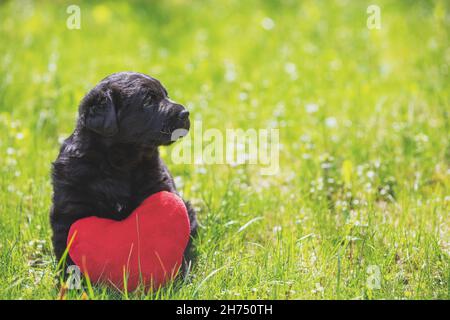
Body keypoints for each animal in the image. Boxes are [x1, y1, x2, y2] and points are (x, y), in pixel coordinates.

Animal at [49, 72, 197, 276]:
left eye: (166, 95)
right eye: (148, 101)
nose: (185, 113)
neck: (119, 164)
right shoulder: (71, 206)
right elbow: (65, 249)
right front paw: (70, 279)